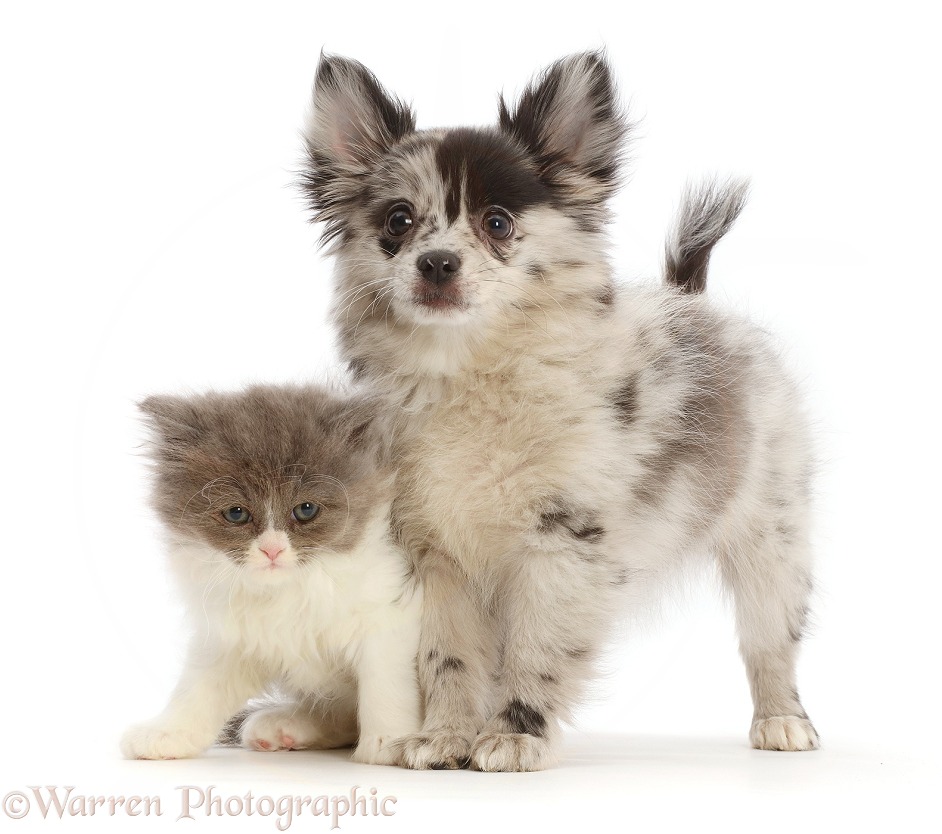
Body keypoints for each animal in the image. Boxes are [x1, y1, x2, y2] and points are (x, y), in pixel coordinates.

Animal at [121, 384, 420, 760]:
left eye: (306, 509)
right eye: (236, 514)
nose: (272, 549)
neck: (291, 593)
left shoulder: (389, 614)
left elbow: (385, 684)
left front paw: (389, 741)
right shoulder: (233, 639)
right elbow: (198, 689)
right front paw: (167, 732)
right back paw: (285, 726)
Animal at [300, 50, 820, 768]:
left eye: (497, 223)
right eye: (397, 222)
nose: (436, 263)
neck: (471, 371)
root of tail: (693, 302)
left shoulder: (562, 546)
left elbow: (536, 649)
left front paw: (515, 735)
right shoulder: (434, 558)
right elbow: (446, 657)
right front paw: (446, 735)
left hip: (772, 536)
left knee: (770, 638)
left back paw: (783, 721)